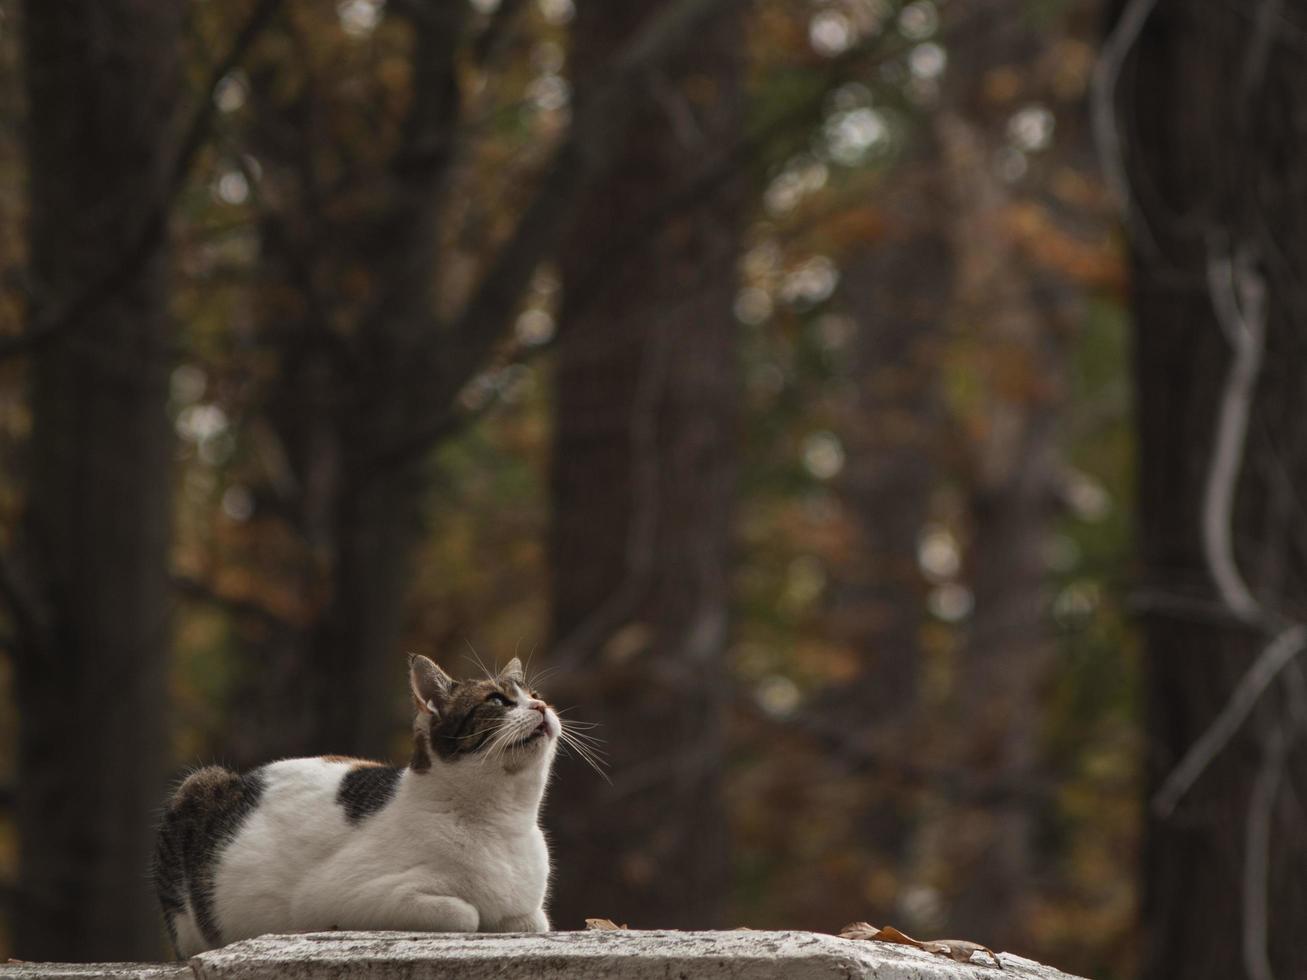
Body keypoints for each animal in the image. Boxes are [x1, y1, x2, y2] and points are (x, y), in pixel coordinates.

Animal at [152, 655, 562, 956]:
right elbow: (466, 913)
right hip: (196, 784)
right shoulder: (339, 898)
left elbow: (533, 920)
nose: (542, 705)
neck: (503, 822)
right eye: (497, 700)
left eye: (536, 693)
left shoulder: (532, 914)